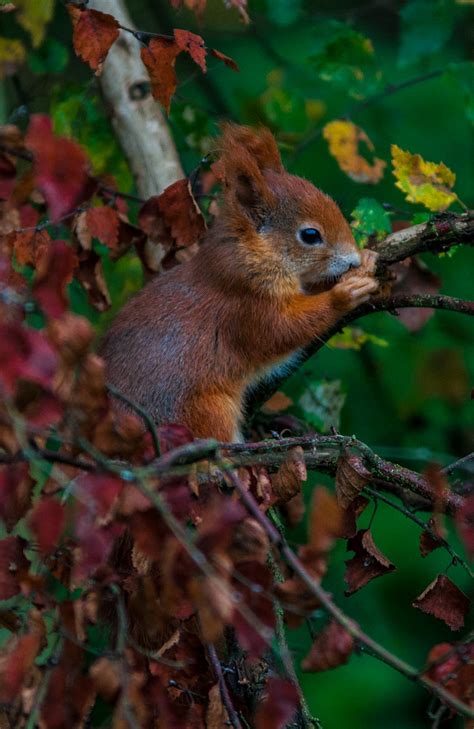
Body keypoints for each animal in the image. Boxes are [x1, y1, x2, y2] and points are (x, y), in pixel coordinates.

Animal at [99, 124, 379, 442]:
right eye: (310, 235)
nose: (352, 260)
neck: (247, 256)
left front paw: (368, 260)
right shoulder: (244, 304)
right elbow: (282, 331)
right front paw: (343, 294)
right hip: (205, 411)